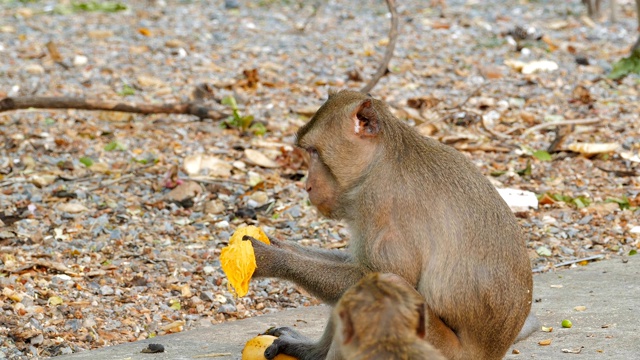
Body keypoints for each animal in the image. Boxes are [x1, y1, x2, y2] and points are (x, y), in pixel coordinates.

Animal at [244, 90, 536, 360]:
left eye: (314, 152)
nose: (308, 186)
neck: (382, 162)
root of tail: (490, 353)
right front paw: (281, 246)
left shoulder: (379, 202)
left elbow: (376, 275)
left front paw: (268, 259)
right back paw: (312, 352)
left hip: (438, 349)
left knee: (384, 285)